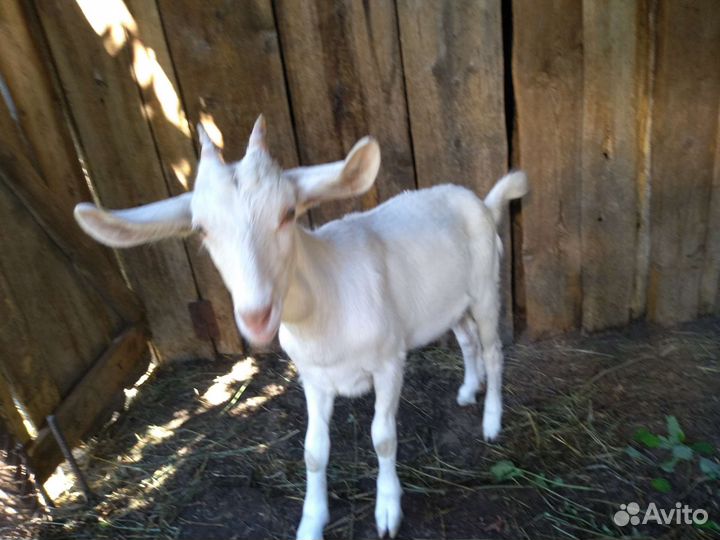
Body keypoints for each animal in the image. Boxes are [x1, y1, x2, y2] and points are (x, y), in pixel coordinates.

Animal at [74, 116, 528, 539]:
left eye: (288, 213)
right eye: (201, 230)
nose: (257, 316)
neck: (328, 296)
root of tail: (480, 202)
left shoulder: (389, 362)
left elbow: (382, 436)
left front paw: (387, 510)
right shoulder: (313, 377)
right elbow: (313, 450)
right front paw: (311, 522)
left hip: (485, 286)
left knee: (492, 348)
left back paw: (491, 421)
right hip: (451, 302)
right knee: (467, 339)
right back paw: (469, 390)